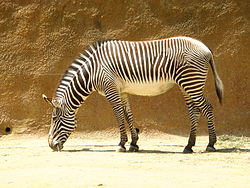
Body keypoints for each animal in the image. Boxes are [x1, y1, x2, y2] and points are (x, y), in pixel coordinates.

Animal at [42, 36, 223, 153]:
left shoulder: (111, 88)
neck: (92, 72)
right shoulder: (122, 91)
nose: (51, 146)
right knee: (194, 111)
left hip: (191, 82)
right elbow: (128, 115)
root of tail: (205, 47)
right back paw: (189, 146)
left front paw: (121, 144)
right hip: (186, 85)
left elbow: (118, 115)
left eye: (54, 119)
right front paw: (134, 144)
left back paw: (210, 144)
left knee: (207, 108)